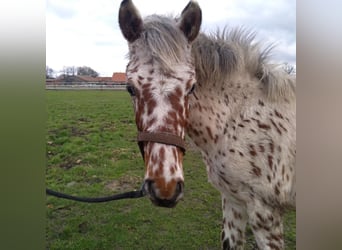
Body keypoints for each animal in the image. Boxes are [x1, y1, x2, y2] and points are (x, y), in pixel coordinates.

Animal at [119, 0, 296, 249]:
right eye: (130, 88)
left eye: (192, 87)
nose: (165, 188)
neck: (236, 120)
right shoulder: (233, 200)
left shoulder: (265, 212)